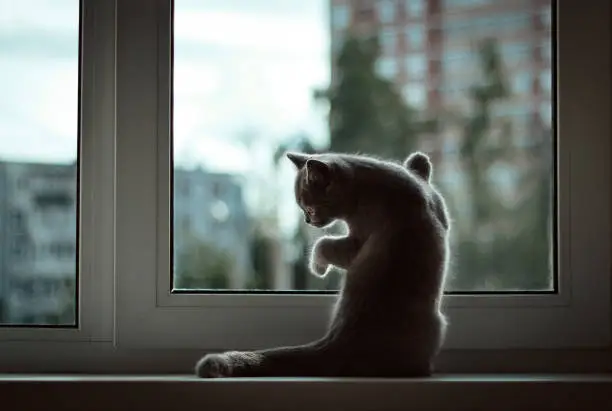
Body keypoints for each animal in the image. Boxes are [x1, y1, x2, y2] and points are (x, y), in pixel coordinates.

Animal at [195, 150, 450, 376]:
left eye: (309, 208)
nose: (308, 220)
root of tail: (335, 342)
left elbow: (322, 243)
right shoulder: (354, 244)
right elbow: (324, 243)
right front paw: (318, 268)